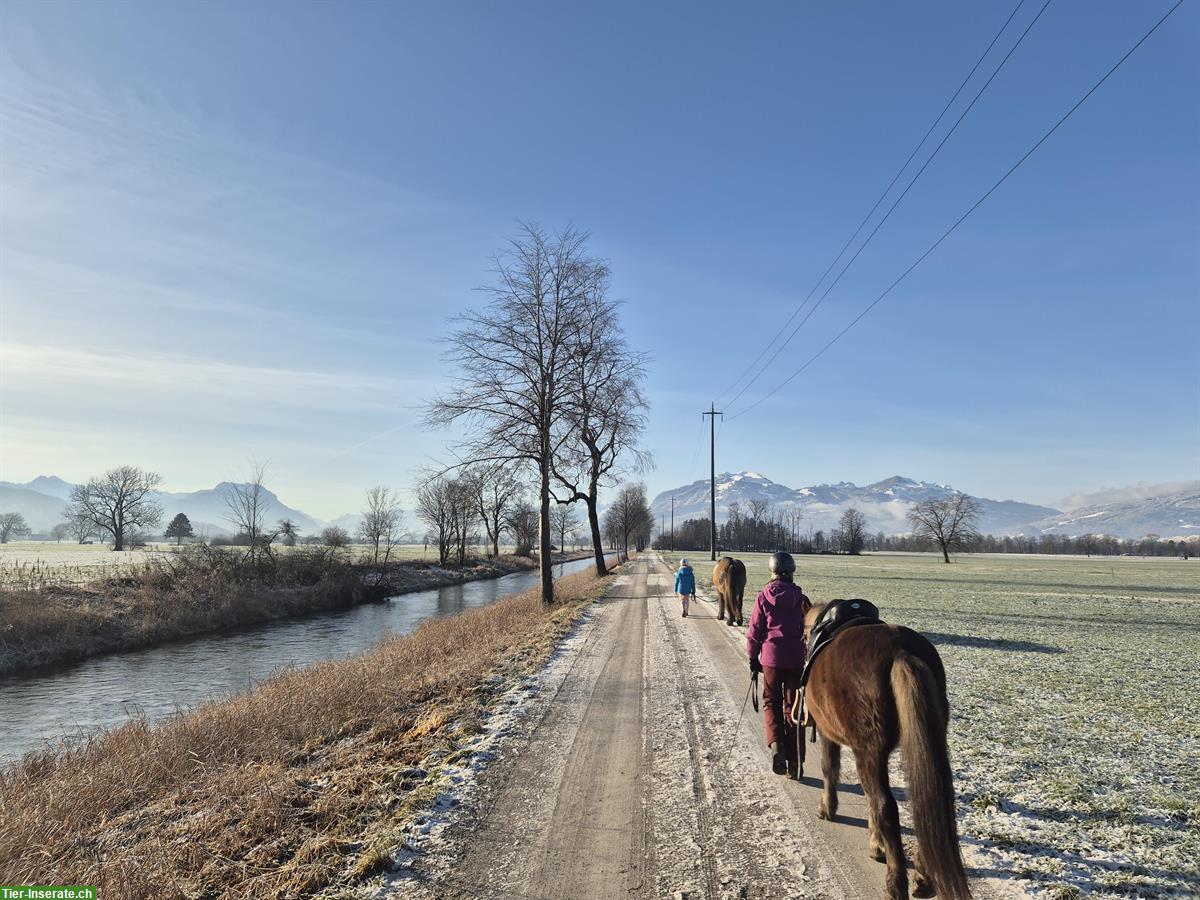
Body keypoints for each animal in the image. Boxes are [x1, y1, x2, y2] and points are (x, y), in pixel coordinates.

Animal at [796, 602, 974, 897]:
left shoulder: (829, 734)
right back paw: (923, 877)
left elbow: (830, 769)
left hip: (867, 752)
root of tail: (900, 652)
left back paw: (895, 883)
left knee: (885, 806)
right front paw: (876, 845)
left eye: (802, 636)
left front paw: (828, 809)